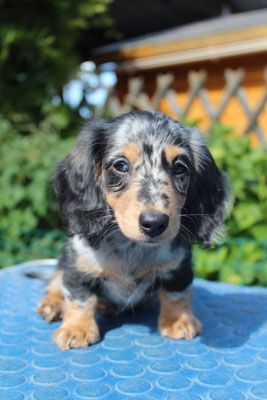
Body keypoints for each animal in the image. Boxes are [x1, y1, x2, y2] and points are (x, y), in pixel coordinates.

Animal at [38, 110, 230, 350]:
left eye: (179, 167)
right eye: (120, 165)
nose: (154, 223)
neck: (131, 248)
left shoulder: (179, 267)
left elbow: (177, 295)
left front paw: (177, 321)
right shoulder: (78, 265)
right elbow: (78, 297)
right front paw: (77, 328)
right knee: (56, 280)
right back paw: (53, 304)